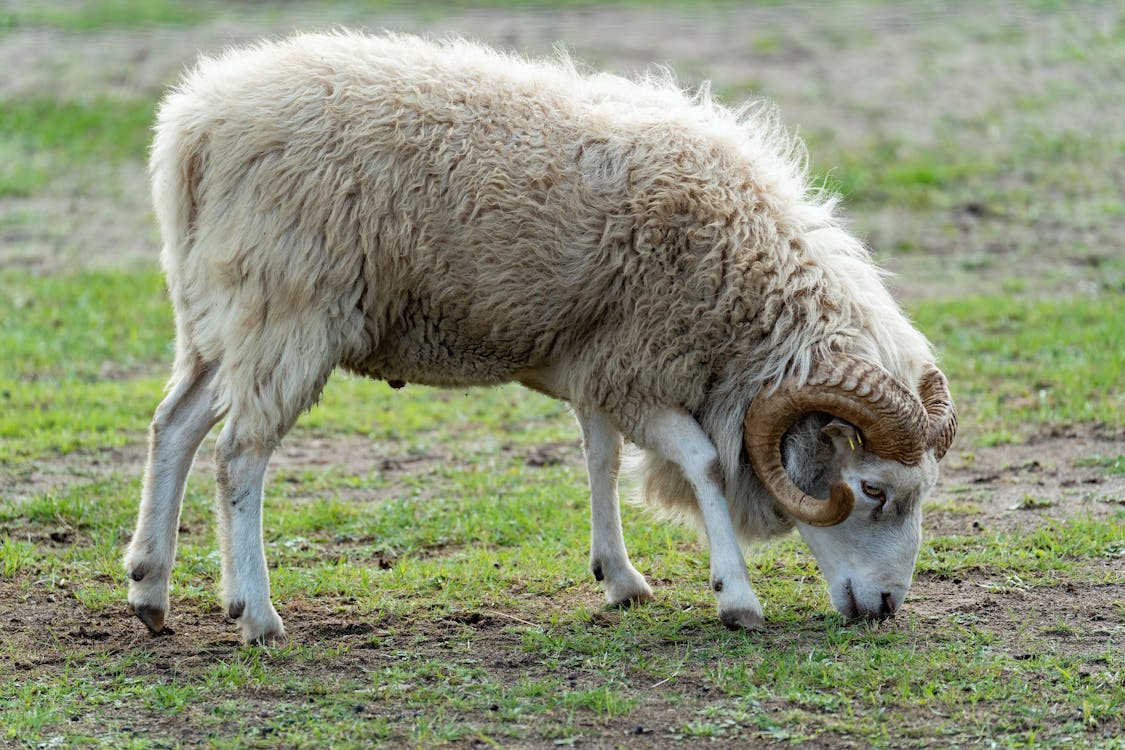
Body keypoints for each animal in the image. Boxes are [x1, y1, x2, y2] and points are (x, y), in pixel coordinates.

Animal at [129, 32, 958, 647]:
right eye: (873, 489)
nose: (886, 608)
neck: (744, 291)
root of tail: (194, 127)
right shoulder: (636, 368)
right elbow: (701, 464)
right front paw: (734, 596)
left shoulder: (600, 362)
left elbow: (600, 458)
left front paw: (618, 577)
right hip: (288, 313)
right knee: (239, 457)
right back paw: (258, 614)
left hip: (220, 317)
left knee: (175, 425)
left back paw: (150, 587)